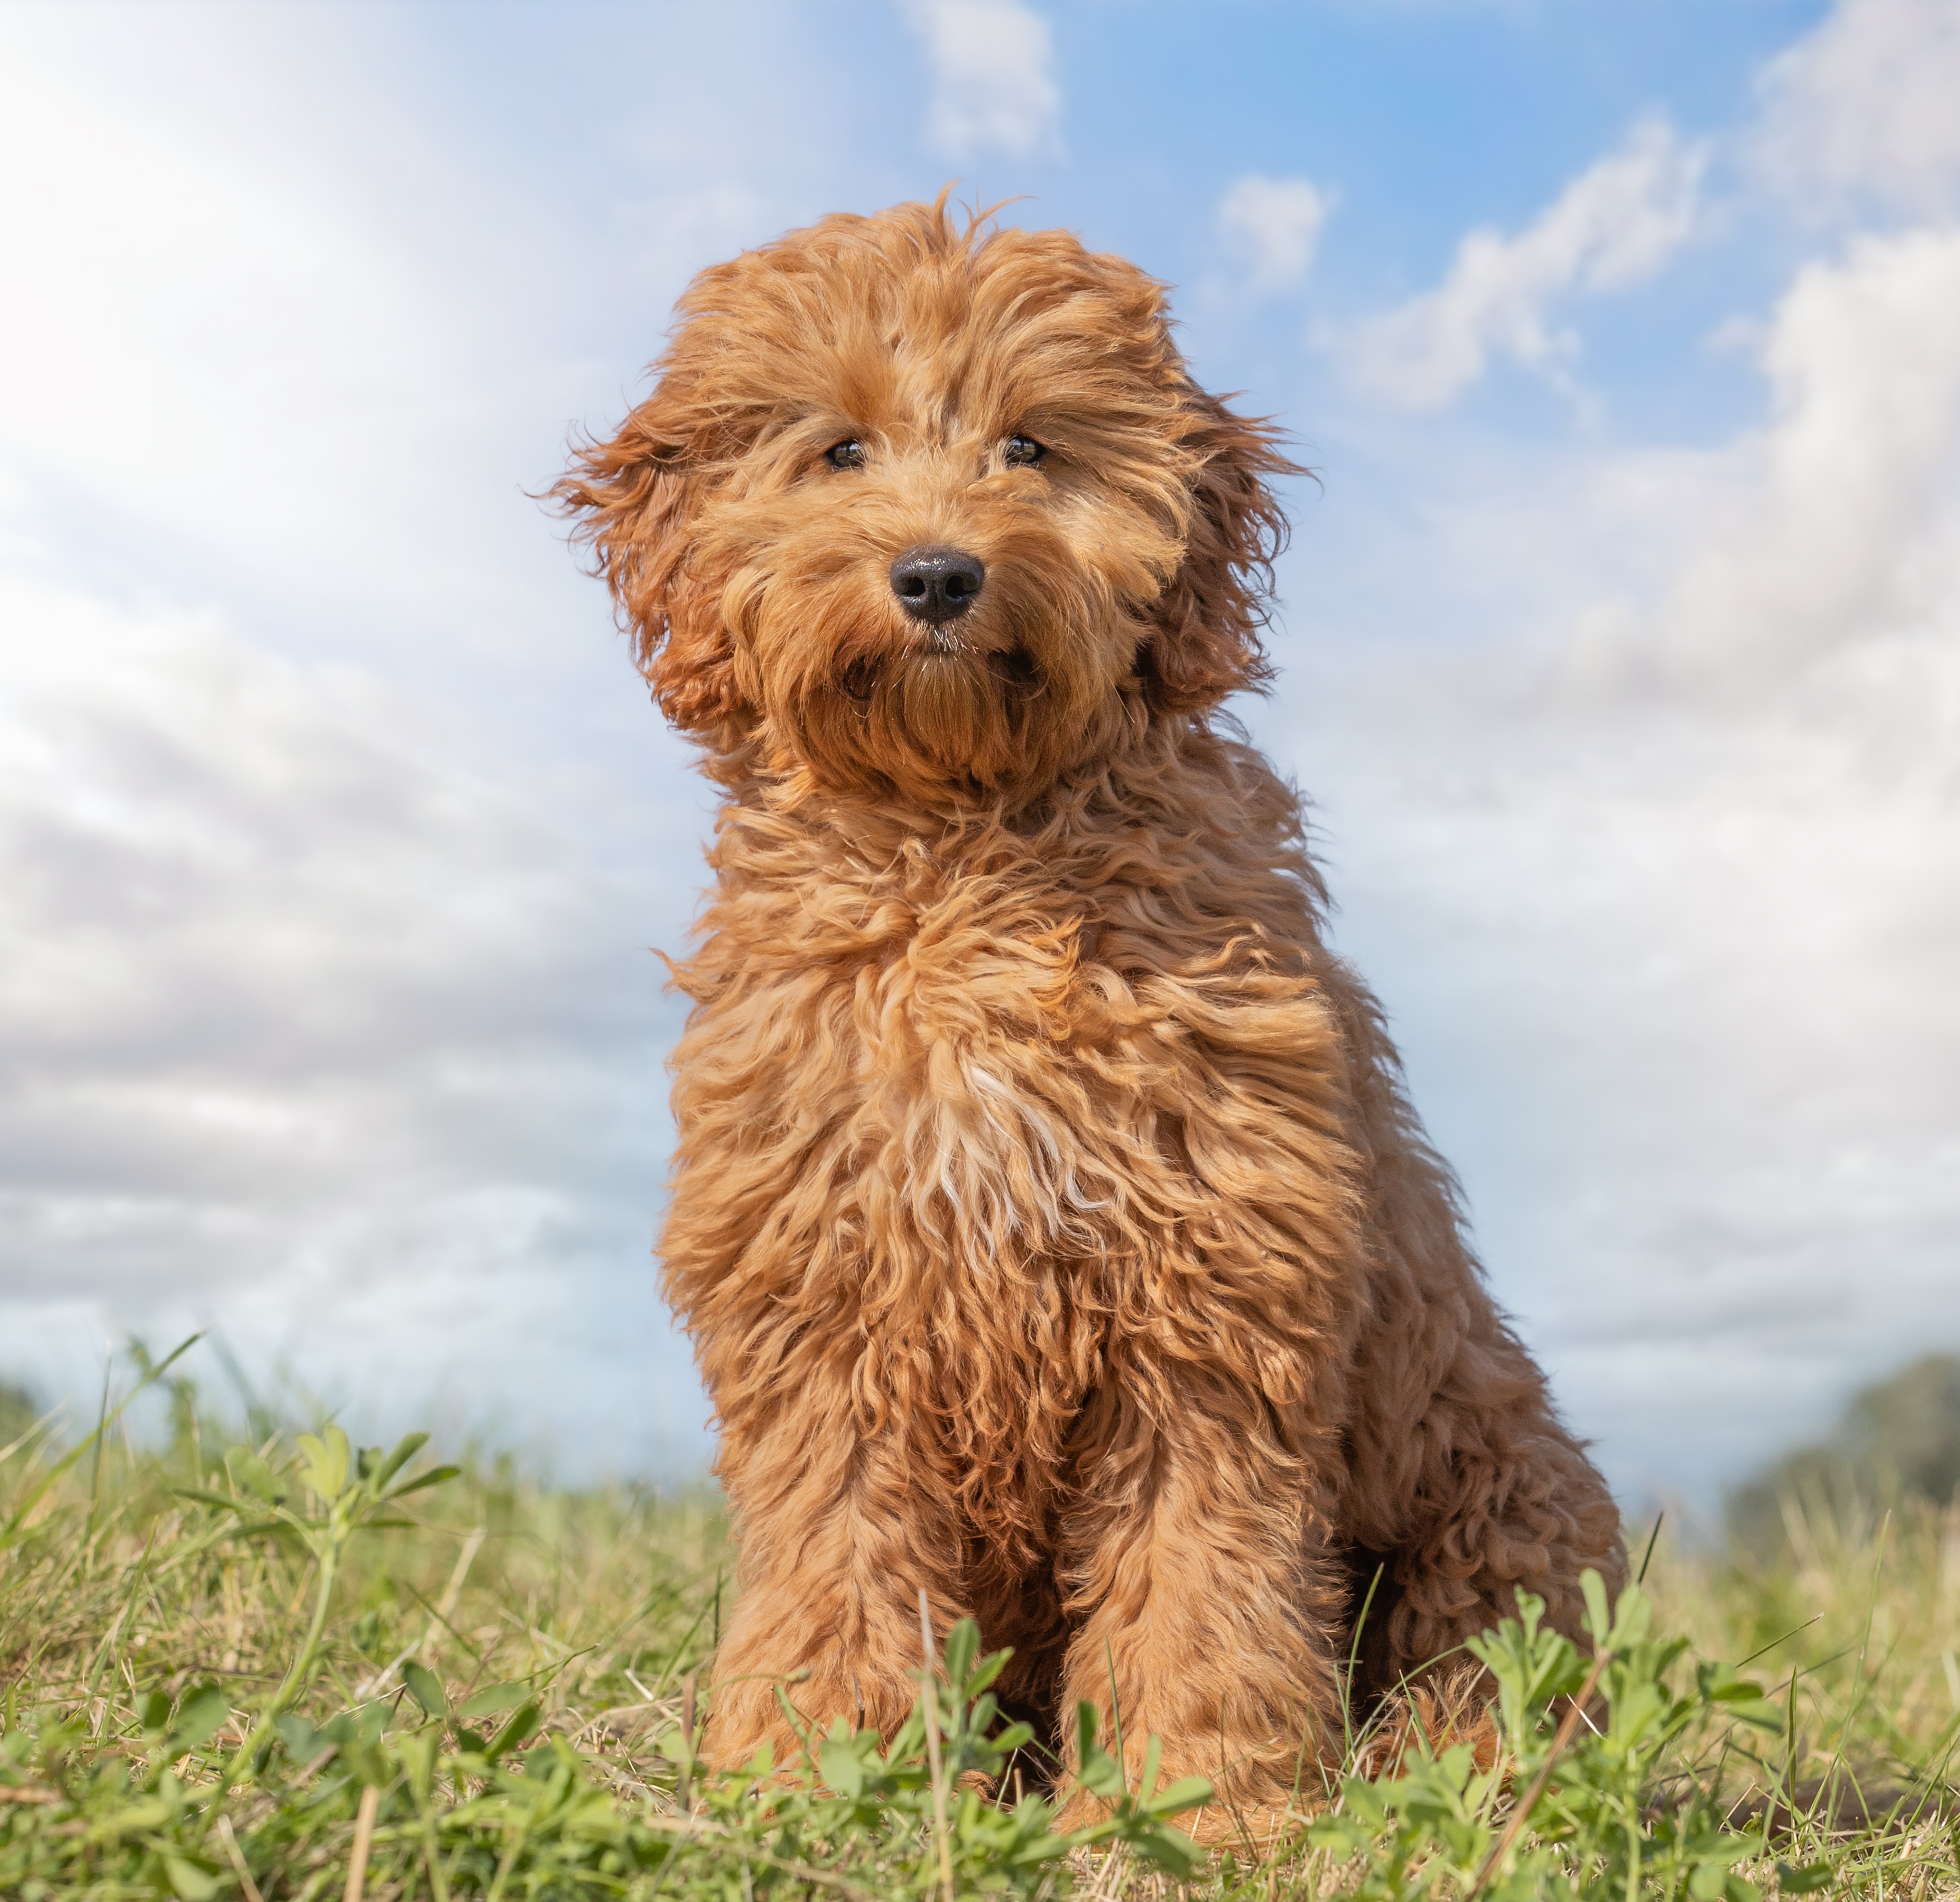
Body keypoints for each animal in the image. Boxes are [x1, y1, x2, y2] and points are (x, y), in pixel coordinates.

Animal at [556, 193, 1623, 1833]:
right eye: (840, 450)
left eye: (1031, 445)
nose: (939, 577)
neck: (970, 852)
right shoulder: (825, 1310)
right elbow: (834, 1567)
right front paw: (816, 1776)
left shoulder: (1209, 1304)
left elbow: (1199, 1588)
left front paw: (1195, 1811)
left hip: (1501, 1500)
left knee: (1490, 1678)